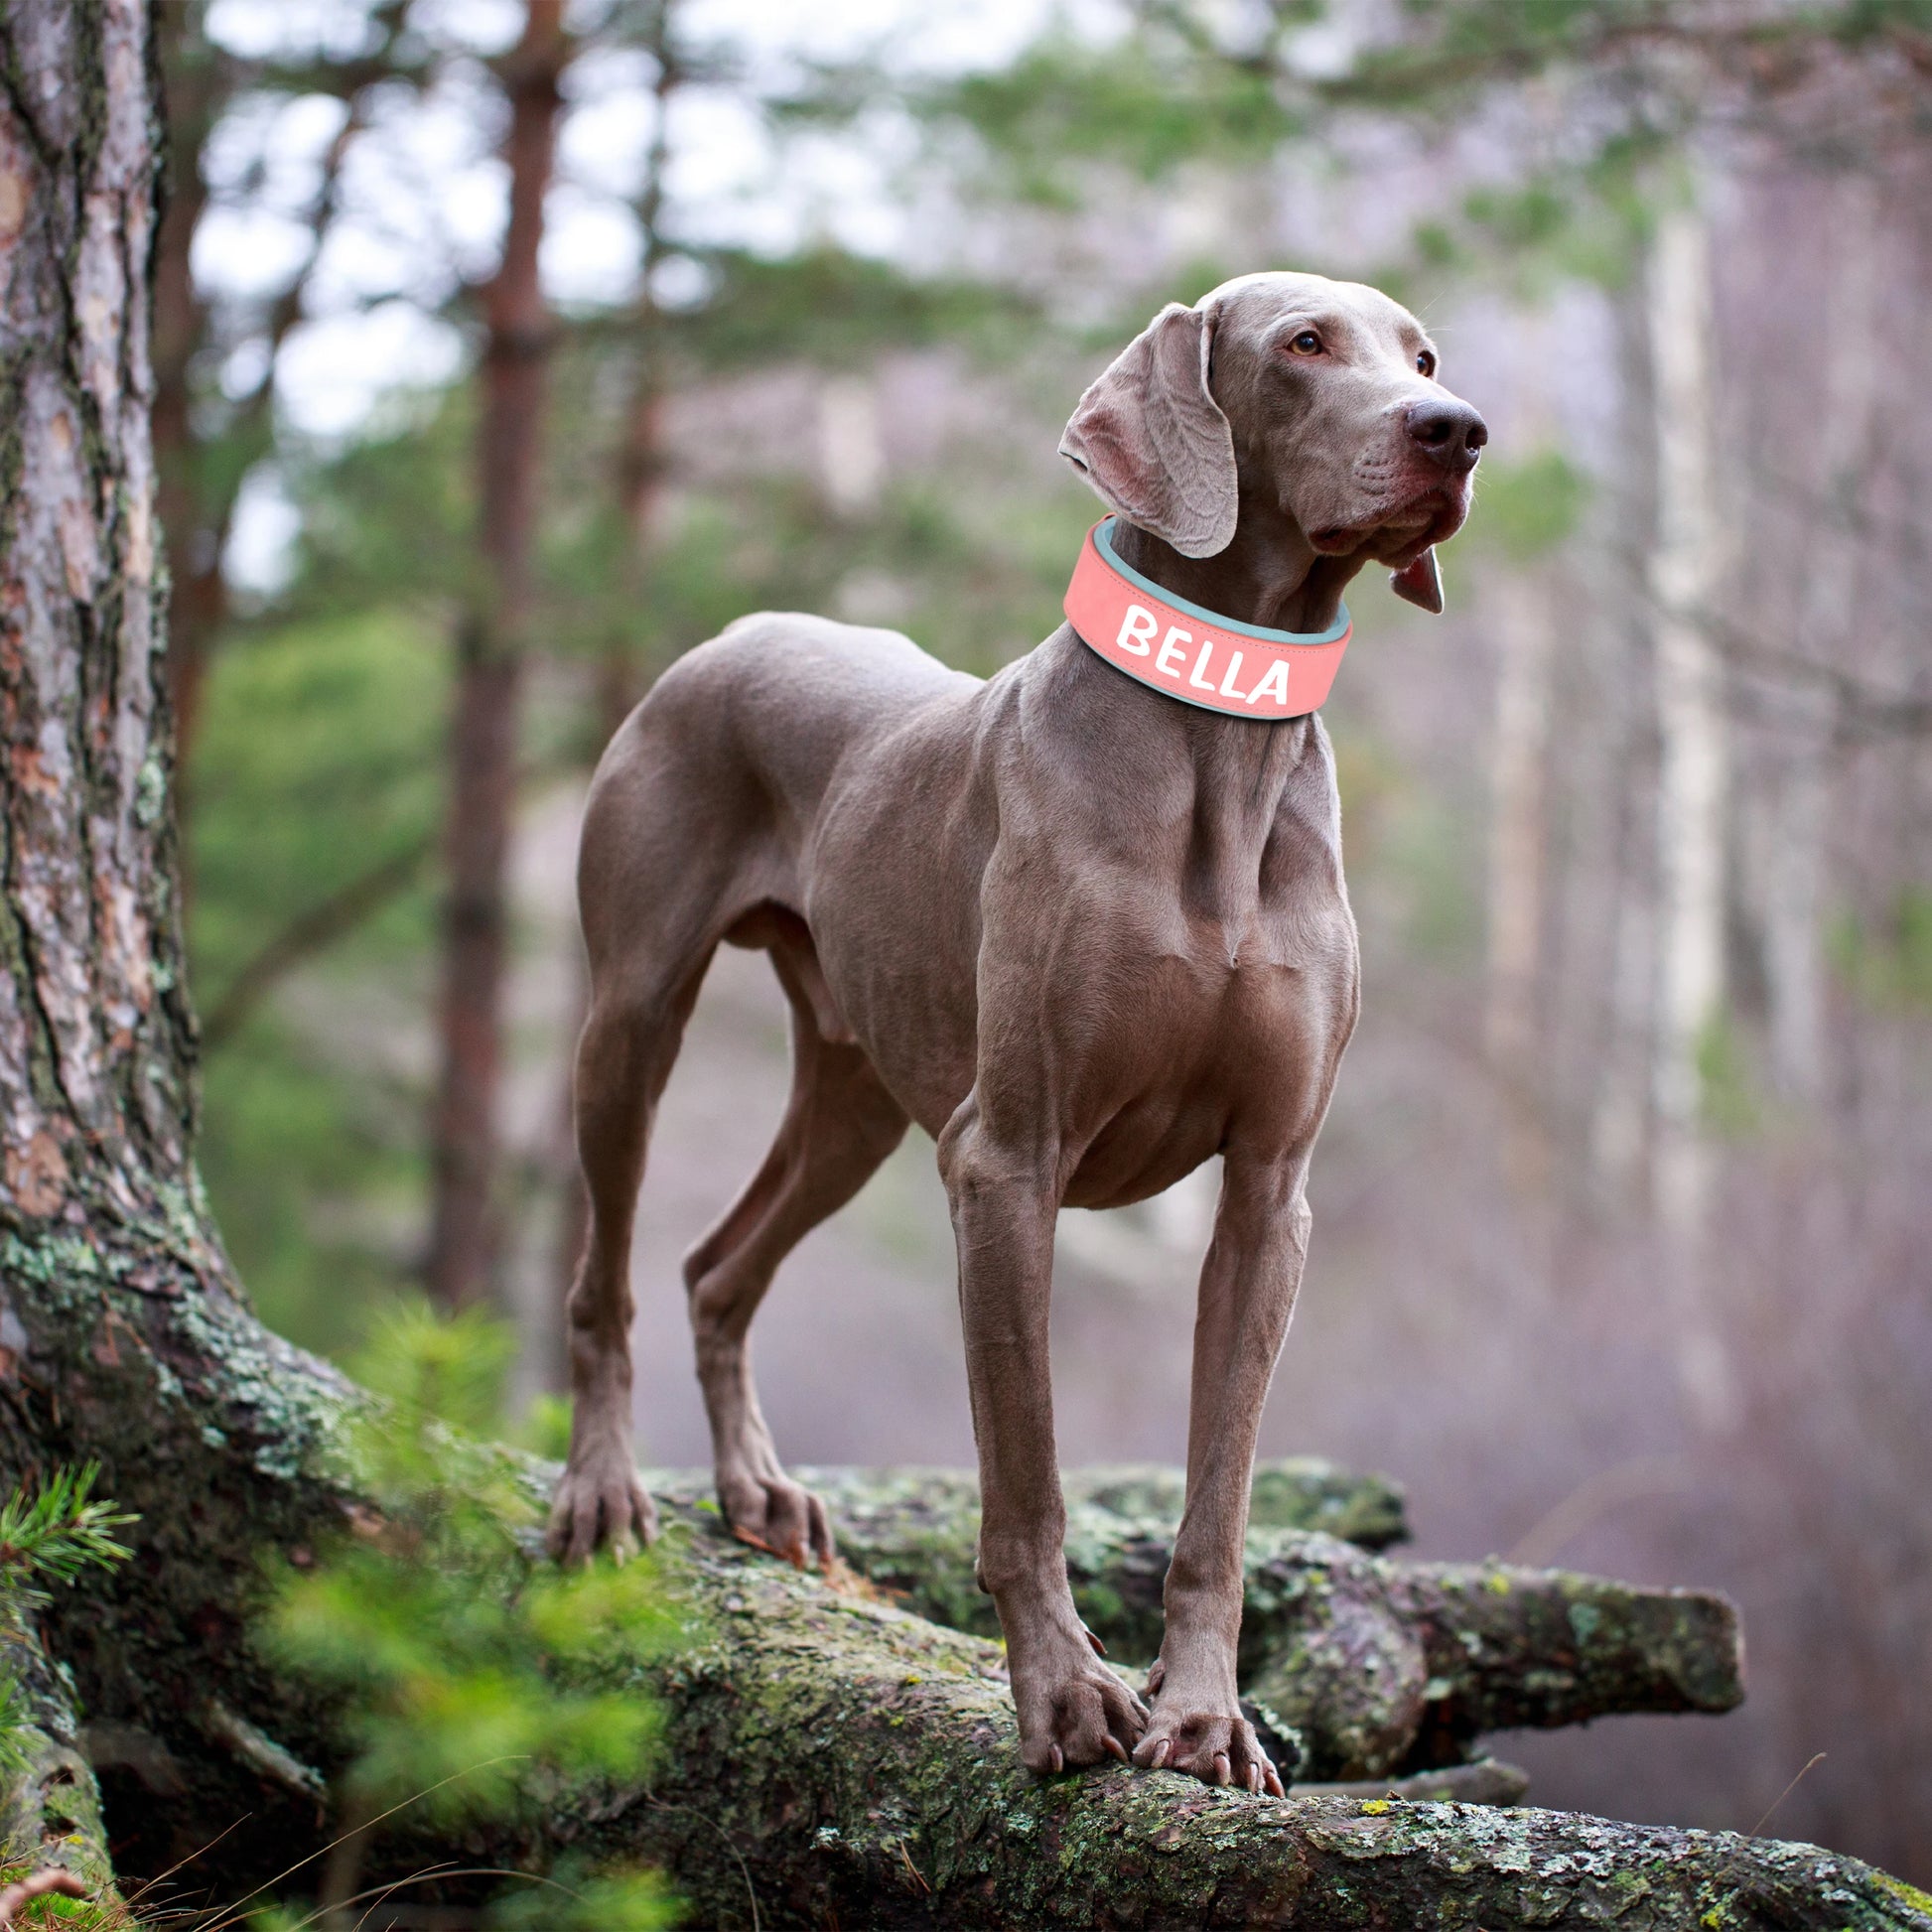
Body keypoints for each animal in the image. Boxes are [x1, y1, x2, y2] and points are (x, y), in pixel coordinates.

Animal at [552, 264, 1483, 1785]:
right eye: (1302, 344)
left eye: (1420, 355)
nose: (1455, 430)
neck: (1219, 746)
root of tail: (738, 629)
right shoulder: (1005, 1159)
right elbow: (1025, 1475)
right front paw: (1064, 1697)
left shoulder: (1266, 1191)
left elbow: (1217, 1499)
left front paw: (1204, 1717)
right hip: (631, 1018)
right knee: (608, 1275)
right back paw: (603, 1491)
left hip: (856, 1095)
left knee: (713, 1265)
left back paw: (756, 1489)